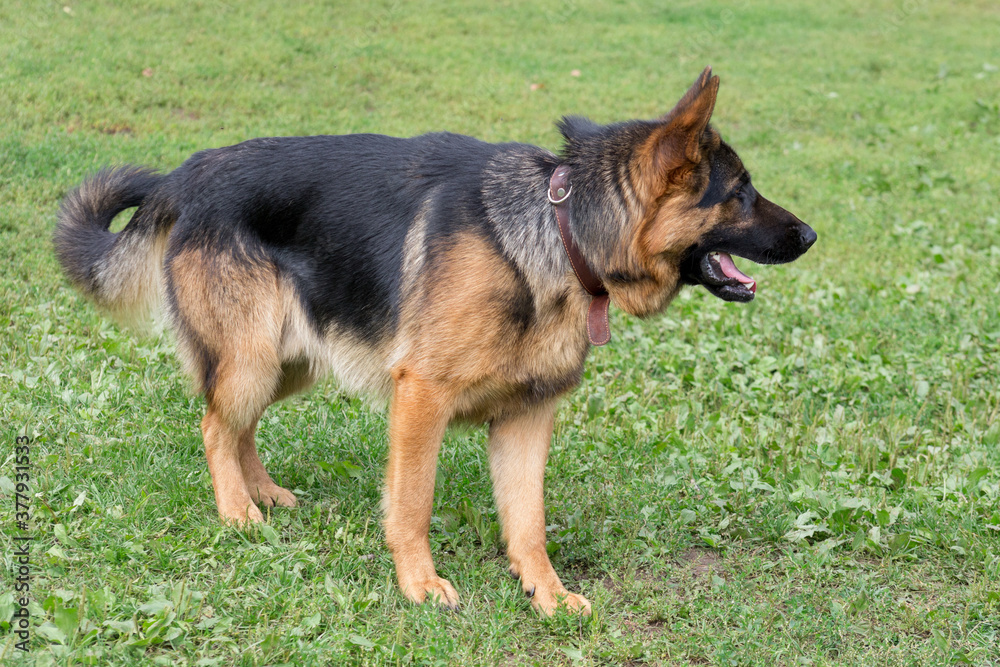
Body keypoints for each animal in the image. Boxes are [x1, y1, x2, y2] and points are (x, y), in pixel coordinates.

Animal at [54, 69, 812, 616]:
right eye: (741, 193)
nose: (810, 235)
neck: (558, 231)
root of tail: (186, 174)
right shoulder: (421, 397)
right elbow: (412, 501)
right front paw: (419, 583)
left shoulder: (527, 417)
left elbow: (528, 520)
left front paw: (546, 593)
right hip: (254, 356)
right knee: (215, 423)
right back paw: (237, 512)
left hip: (292, 359)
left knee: (238, 424)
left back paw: (262, 492)